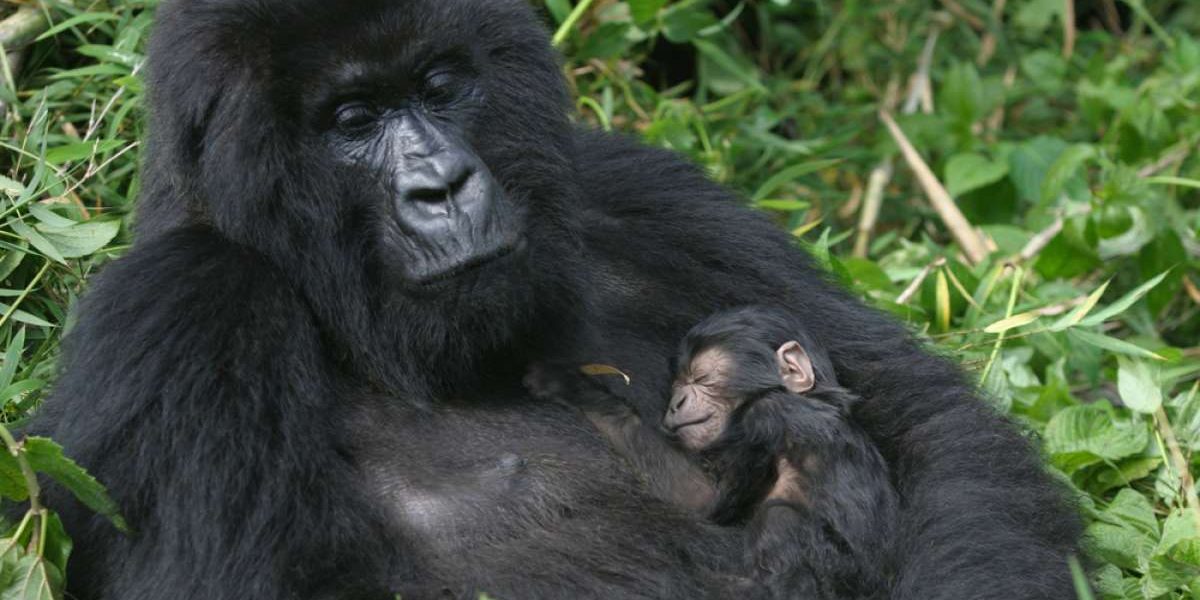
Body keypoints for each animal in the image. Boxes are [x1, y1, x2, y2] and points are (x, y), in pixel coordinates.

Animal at [530, 307, 897, 597]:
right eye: (677, 382)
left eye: (701, 377)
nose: (676, 402)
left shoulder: (764, 416)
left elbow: (702, 496)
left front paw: (568, 384)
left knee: (782, 517)